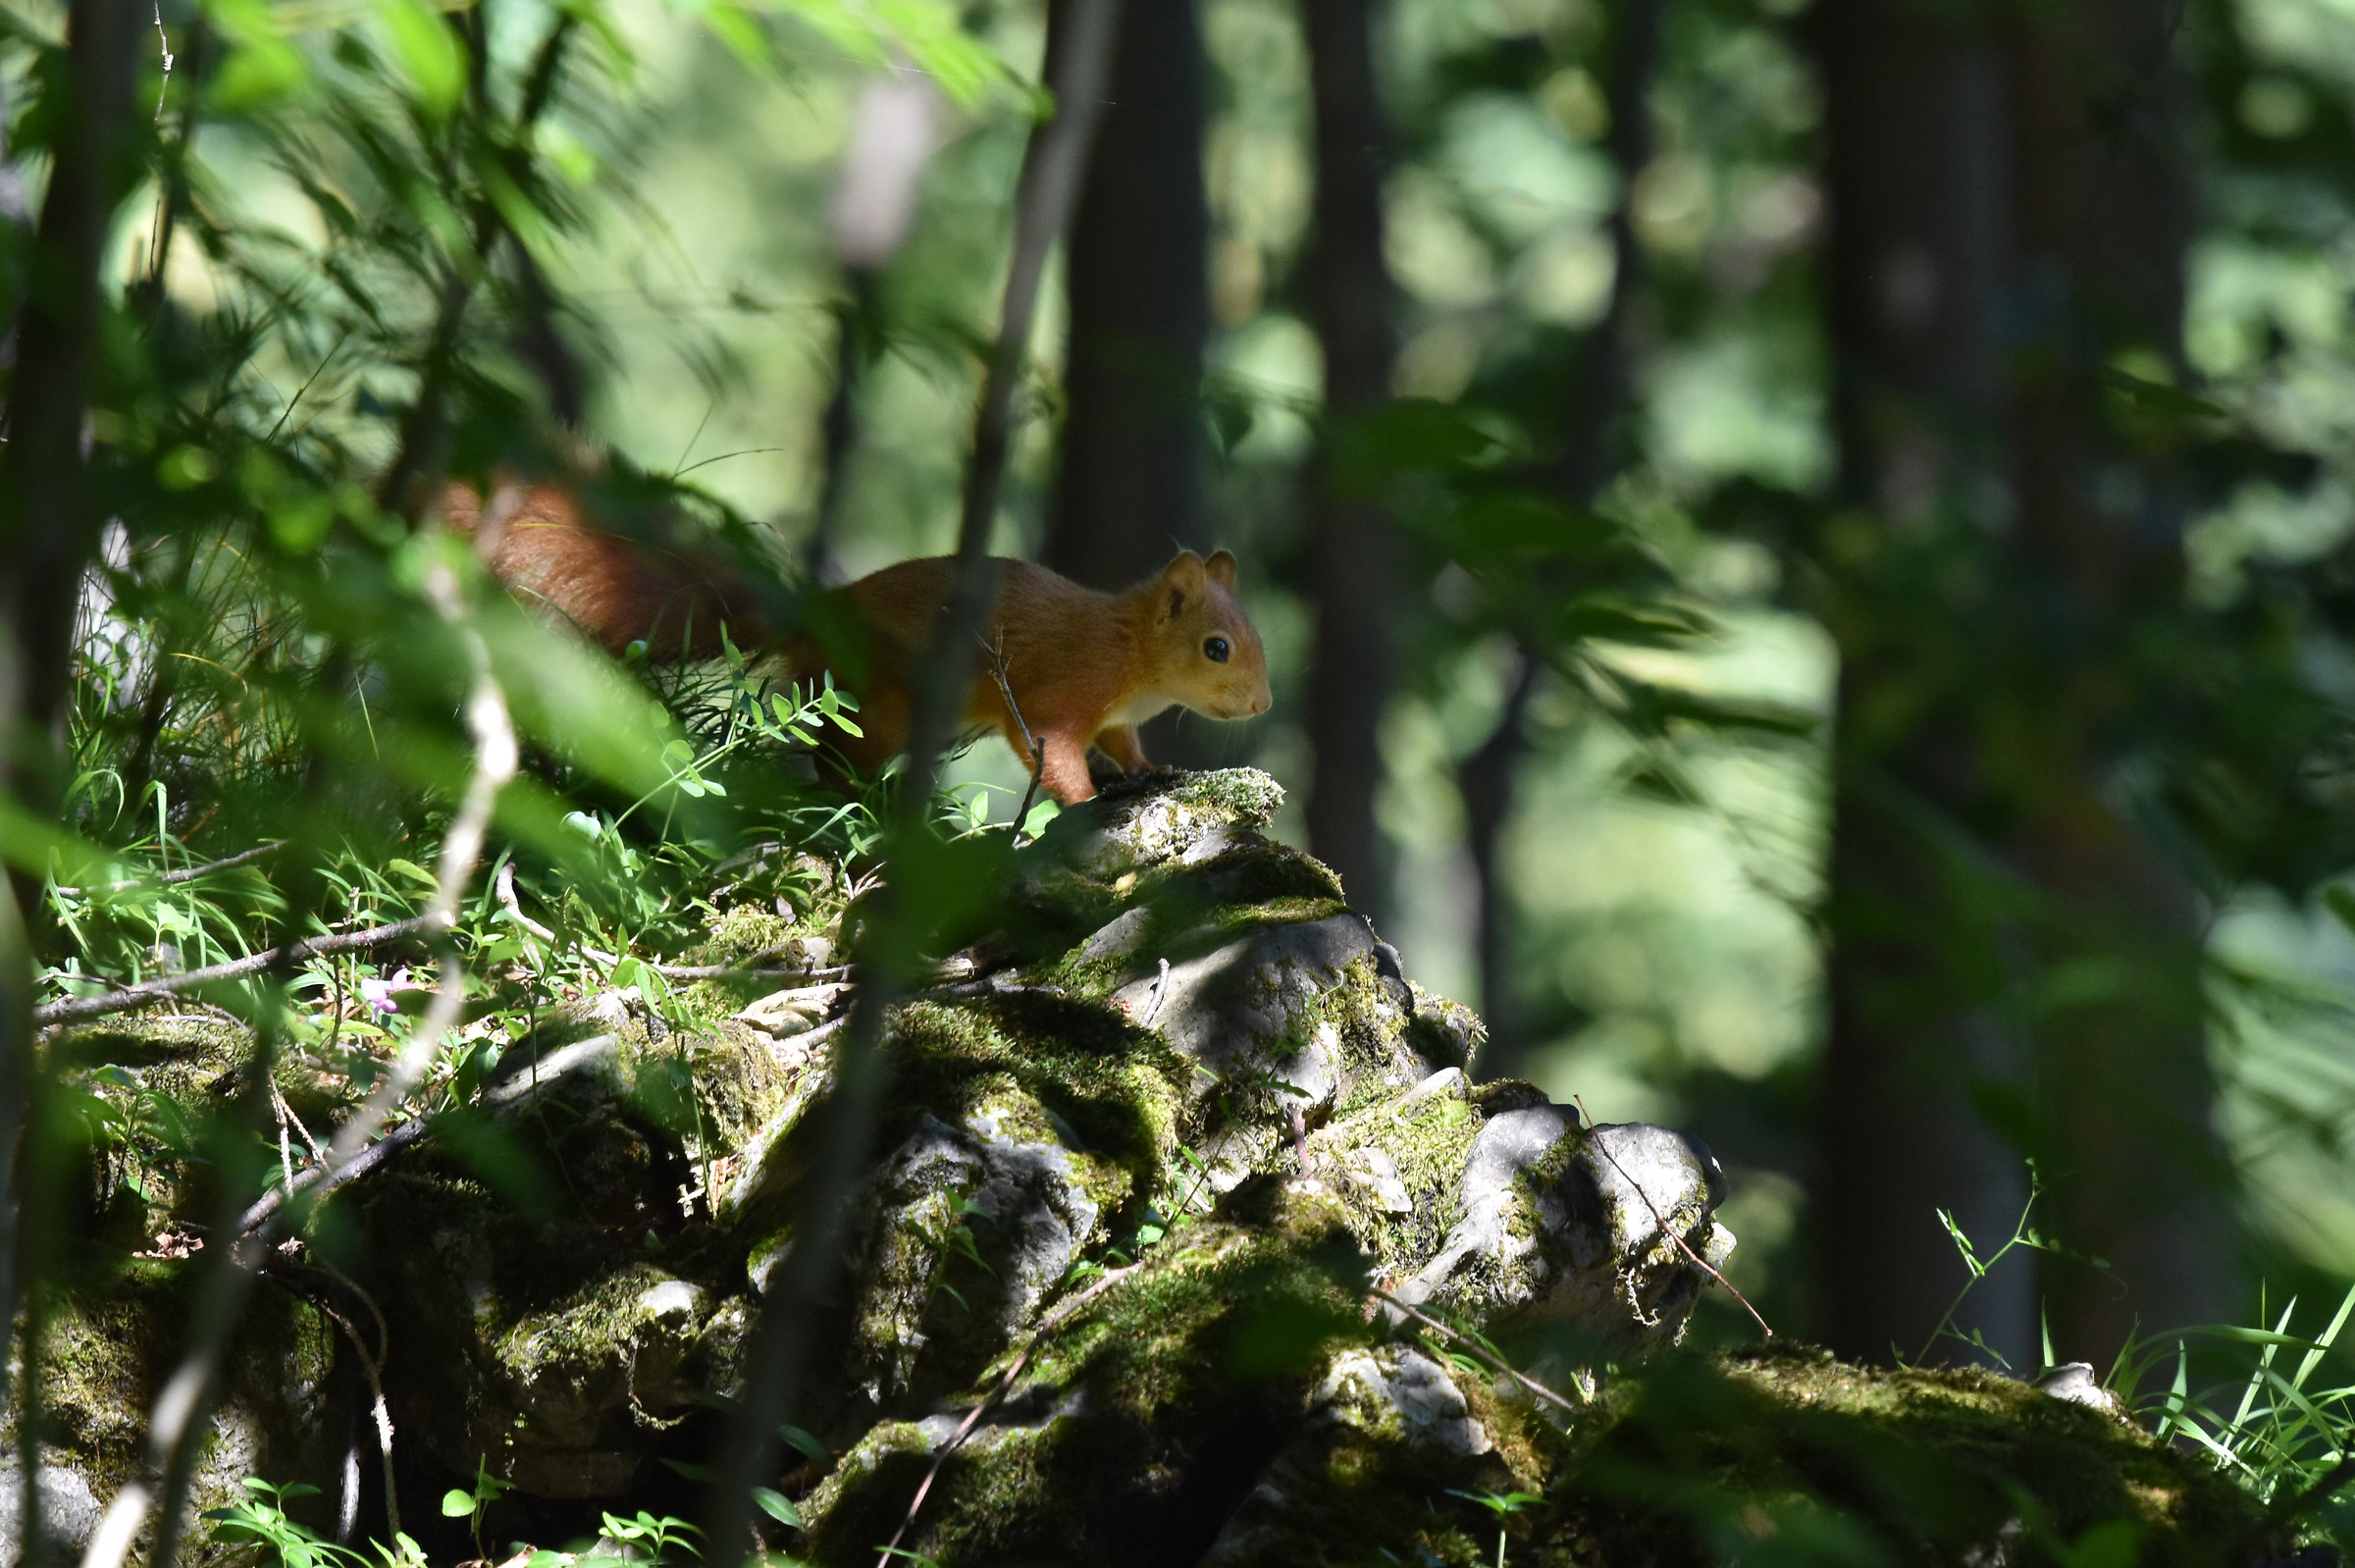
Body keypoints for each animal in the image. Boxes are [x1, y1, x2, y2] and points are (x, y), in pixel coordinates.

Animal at [447, 483, 1272, 804]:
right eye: (1217, 648)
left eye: (1254, 635)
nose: (1264, 704)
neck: (1131, 656)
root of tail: (815, 615)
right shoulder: (1062, 694)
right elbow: (1054, 752)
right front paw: (1088, 799)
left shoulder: (1118, 717)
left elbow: (1127, 747)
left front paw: (1154, 772)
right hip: (876, 705)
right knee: (829, 757)